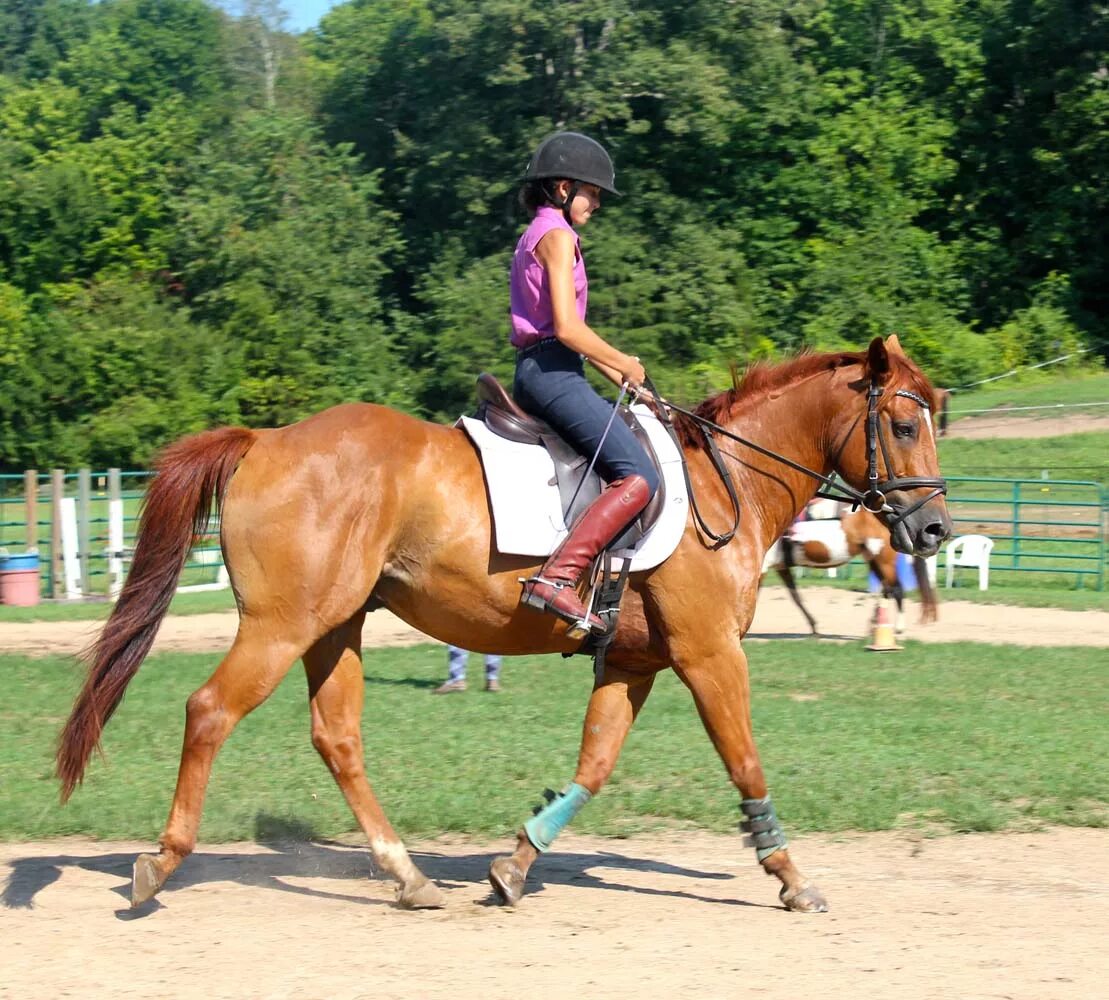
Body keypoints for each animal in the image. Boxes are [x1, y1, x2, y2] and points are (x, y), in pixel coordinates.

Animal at [767, 505, 940, 638]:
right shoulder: (781, 567)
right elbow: (796, 597)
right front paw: (813, 626)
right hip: (873, 560)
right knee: (887, 589)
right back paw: (873, 626)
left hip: (883, 561)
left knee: (897, 589)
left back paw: (898, 627)